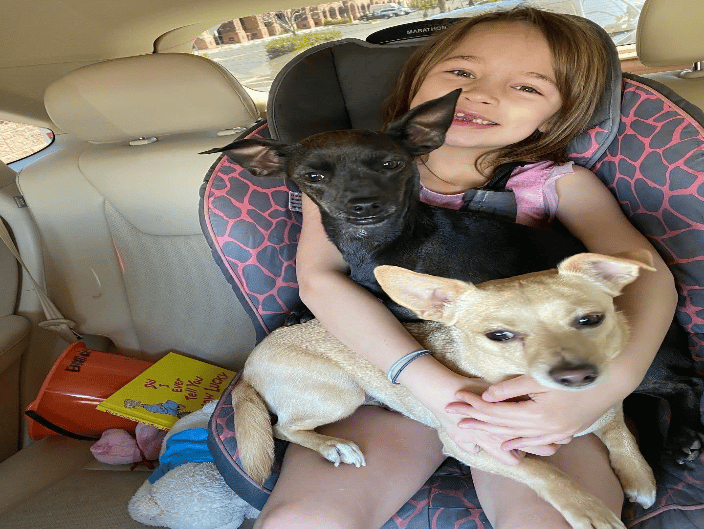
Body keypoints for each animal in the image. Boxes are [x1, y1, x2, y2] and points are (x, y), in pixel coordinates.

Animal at [203, 90, 586, 320]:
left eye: (392, 164)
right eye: (313, 176)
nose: (364, 204)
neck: (376, 246)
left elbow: (384, 302)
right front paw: (298, 310)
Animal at [232, 254, 657, 529]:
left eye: (591, 320)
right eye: (498, 336)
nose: (577, 376)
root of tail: (247, 366)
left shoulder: (608, 405)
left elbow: (621, 434)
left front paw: (640, 477)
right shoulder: (470, 445)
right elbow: (543, 470)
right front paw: (589, 510)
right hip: (340, 394)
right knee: (283, 428)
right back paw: (333, 445)